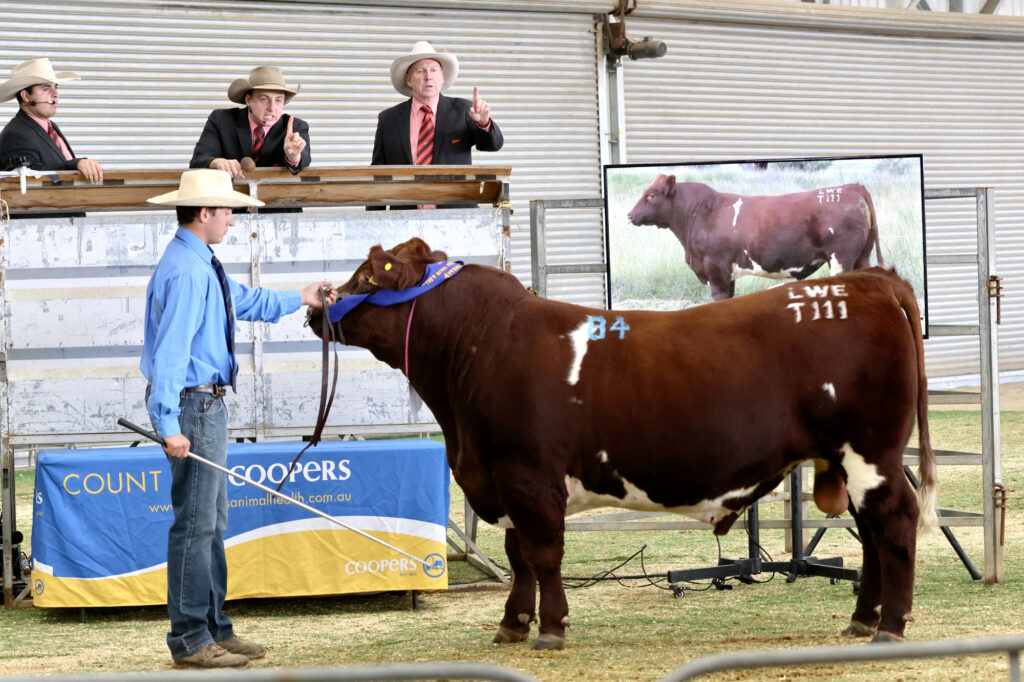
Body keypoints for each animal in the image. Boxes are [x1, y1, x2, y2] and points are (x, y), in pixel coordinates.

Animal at [307, 237, 936, 650]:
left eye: (367, 278)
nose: (317, 306)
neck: (483, 344)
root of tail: (868, 280)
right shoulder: (503, 479)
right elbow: (518, 557)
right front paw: (512, 624)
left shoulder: (527, 475)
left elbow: (542, 554)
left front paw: (551, 629)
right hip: (848, 460)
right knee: (873, 535)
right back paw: (862, 619)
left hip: (871, 452)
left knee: (895, 523)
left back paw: (890, 626)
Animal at [627, 175, 885, 301]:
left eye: (651, 195)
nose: (630, 215)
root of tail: (852, 187)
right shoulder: (727, 275)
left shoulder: (716, 270)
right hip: (862, 256)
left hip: (841, 259)